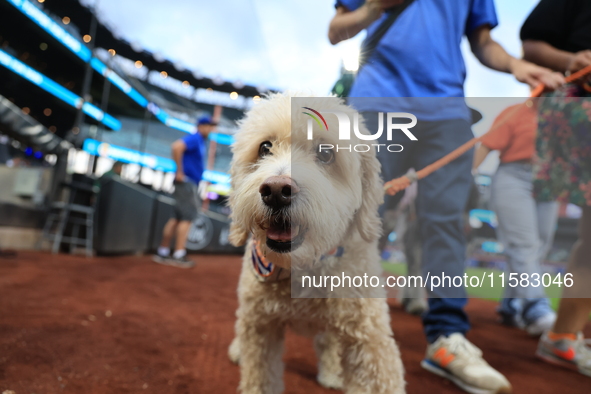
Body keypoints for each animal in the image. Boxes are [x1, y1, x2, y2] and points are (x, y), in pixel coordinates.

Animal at [229, 94, 404, 392]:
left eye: (325, 153)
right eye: (265, 147)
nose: (276, 191)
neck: (306, 266)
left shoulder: (369, 341)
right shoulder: (260, 327)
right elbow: (259, 376)